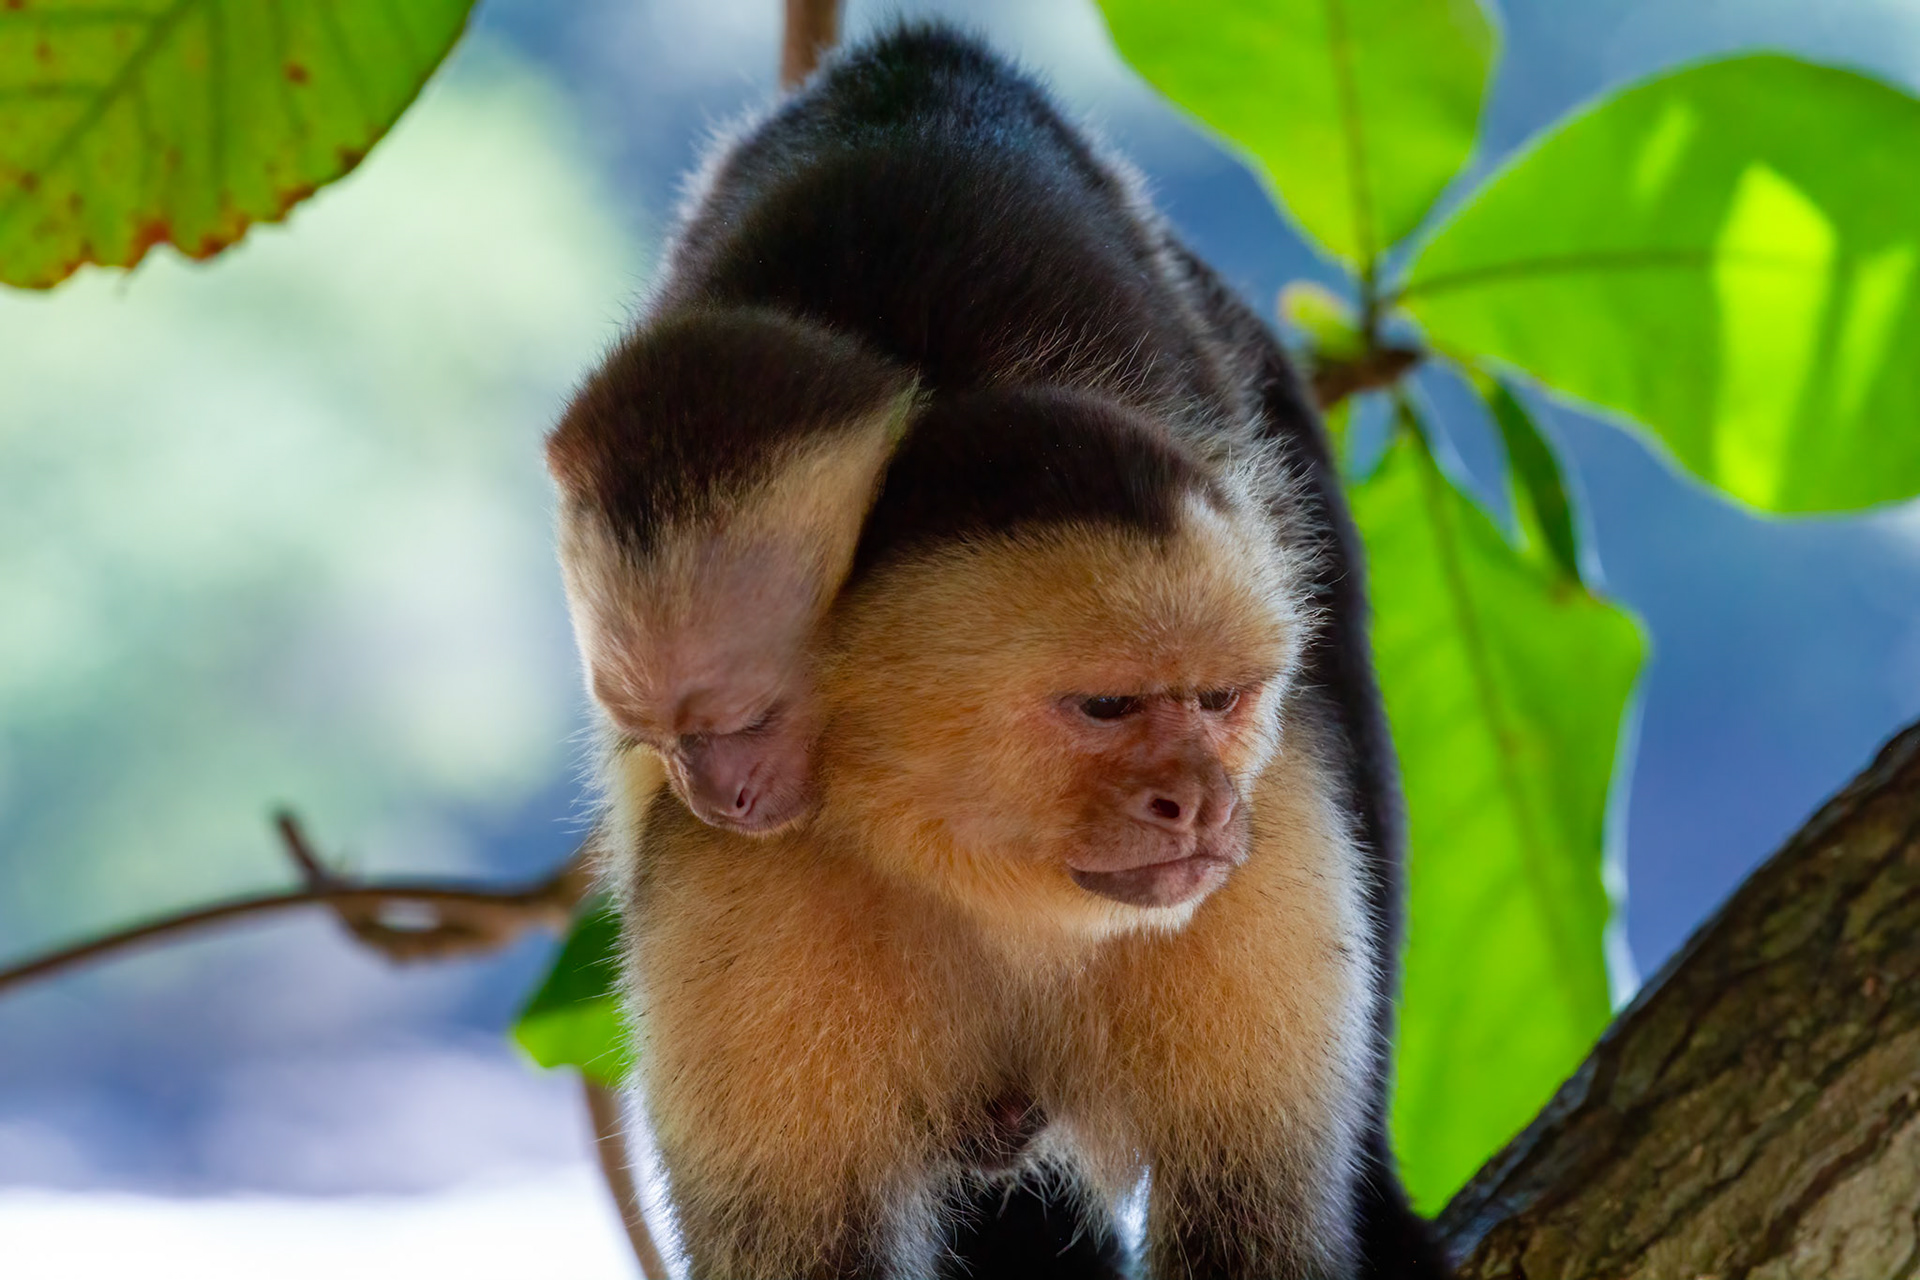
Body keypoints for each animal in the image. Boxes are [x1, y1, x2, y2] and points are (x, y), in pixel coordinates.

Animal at [553, 22, 1445, 1280]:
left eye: (1218, 699)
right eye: (1107, 708)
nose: (1195, 802)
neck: (975, 863)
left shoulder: (1261, 858)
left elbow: (1251, 1224)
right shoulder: (731, 887)